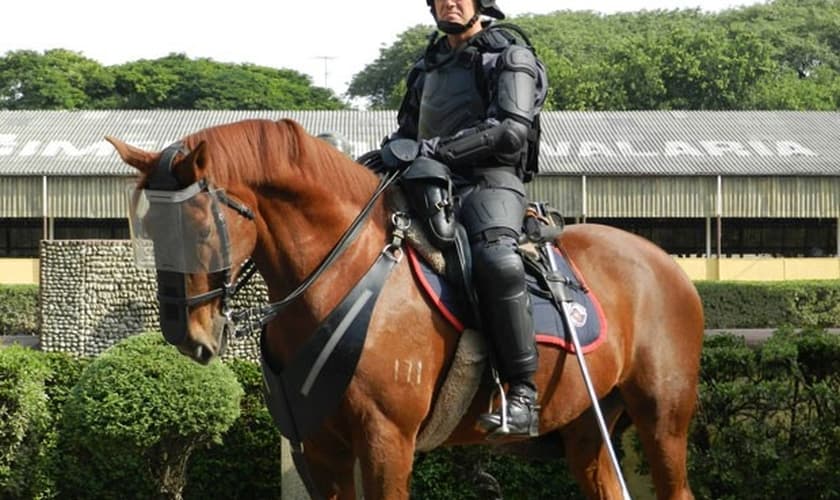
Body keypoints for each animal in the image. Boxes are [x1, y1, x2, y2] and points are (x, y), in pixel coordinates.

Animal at [107, 118, 704, 500]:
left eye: (201, 228)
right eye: (150, 229)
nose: (186, 334)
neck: (344, 274)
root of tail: (669, 265)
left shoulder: (386, 442)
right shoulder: (316, 450)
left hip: (662, 420)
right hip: (586, 428)